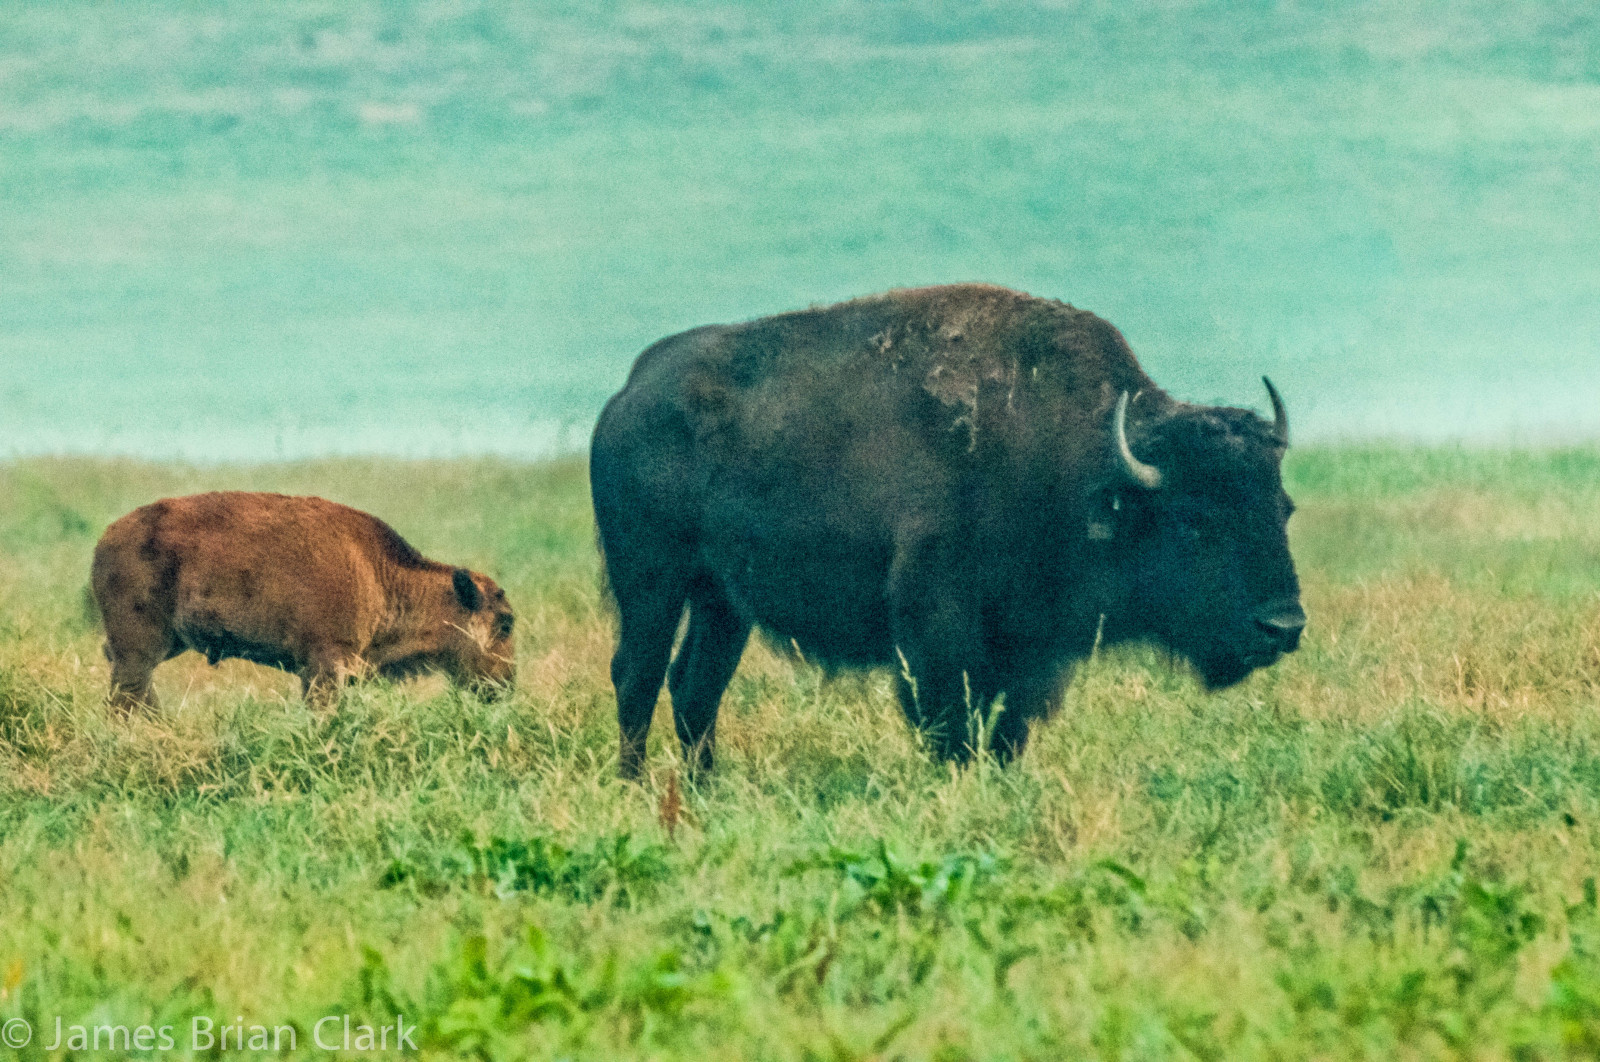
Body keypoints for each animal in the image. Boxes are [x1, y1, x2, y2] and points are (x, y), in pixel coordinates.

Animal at [91, 491, 516, 710]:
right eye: (506, 622)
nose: (506, 685)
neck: (376, 572)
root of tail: (107, 538)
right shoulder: (324, 665)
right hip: (140, 647)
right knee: (128, 694)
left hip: (164, 645)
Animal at [591, 284, 1305, 778]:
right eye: (1195, 518)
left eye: (1284, 506)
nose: (1284, 626)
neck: (1083, 458)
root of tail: (630, 392)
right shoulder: (939, 632)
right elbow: (952, 724)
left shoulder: (1030, 651)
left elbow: (1005, 730)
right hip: (652, 585)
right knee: (638, 676)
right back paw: (636, 788)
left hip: (722, 602)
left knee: (695, 687)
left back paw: (706, 790)